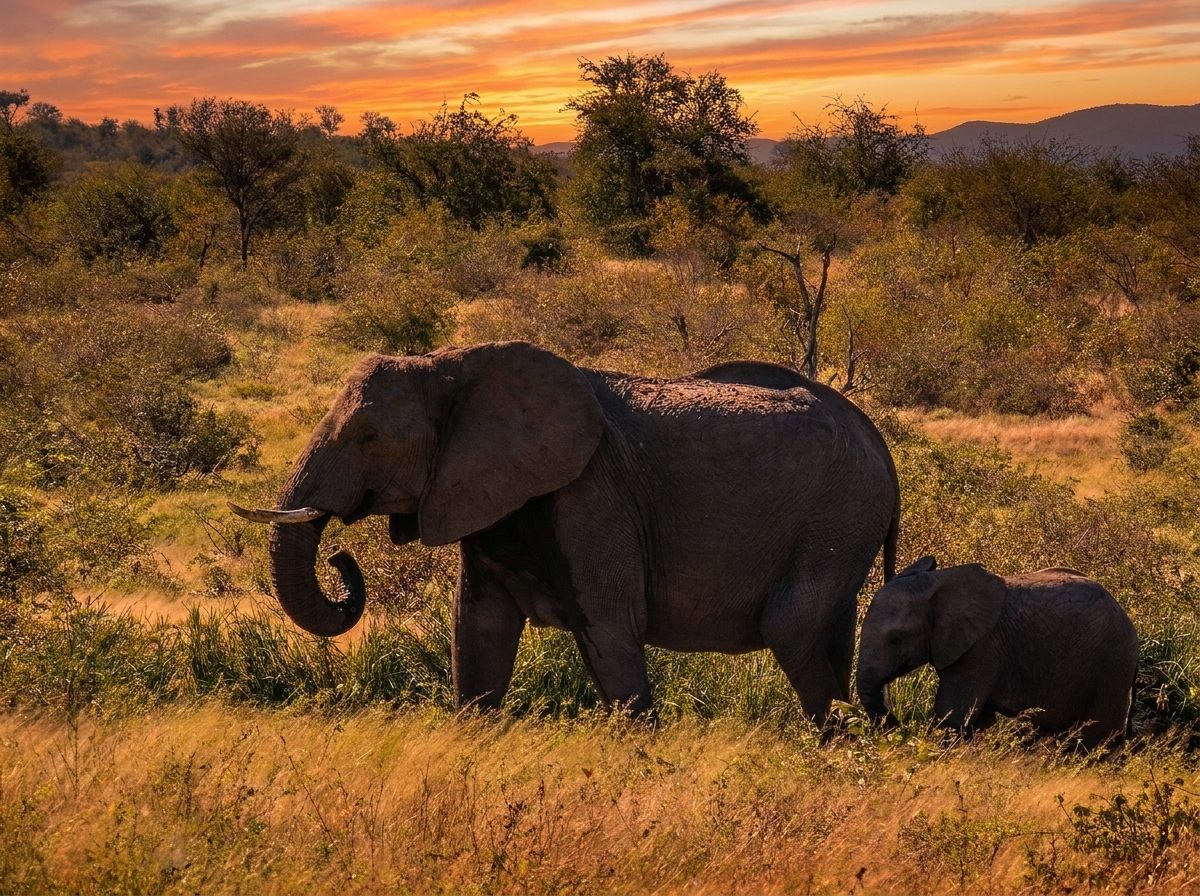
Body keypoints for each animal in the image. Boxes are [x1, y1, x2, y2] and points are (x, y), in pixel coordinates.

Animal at [230, 341, 900, 723]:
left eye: (369, 437)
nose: (341, 561)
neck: (454, 366)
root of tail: (882, 451)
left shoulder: (592, 496)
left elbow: (609, 630)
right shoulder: (488, 497)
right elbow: (478, 632)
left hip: (836, 518)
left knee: (795, 632)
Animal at [856, 556, 1138, 749]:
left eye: (896, 639)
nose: (899, 725)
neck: (937, 583)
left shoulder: (982, 646)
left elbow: (953, 715)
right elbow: (979, 719)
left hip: (1112, 663)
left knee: (1096, 737)